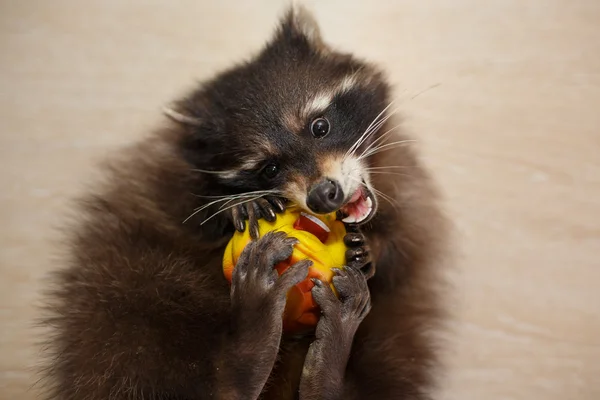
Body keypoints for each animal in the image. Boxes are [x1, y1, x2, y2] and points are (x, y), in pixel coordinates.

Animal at [38, 5, 450, 400]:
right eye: (269, 168)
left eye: (320, 127)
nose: (322, 195)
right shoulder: (165, 172)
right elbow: (183, 209)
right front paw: (233, 207)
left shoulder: (407, 187)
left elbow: (407, 246)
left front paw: (375, 248)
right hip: (126, 297)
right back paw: (247, 352)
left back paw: (327, 366)